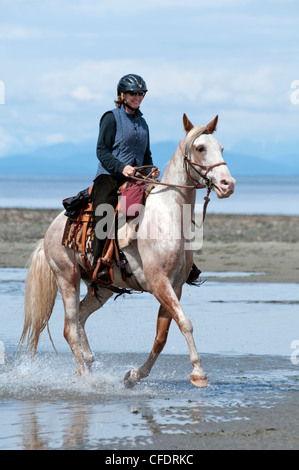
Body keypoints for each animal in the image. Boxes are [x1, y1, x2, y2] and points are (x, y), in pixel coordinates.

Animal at [19, 112, 237, 388]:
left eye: (221, 147)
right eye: (200, 148)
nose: (228, 184)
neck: (168, 216)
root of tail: (50, 231)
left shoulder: (174, 286)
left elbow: (162, 336)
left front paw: (133, 376)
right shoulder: (159, 283)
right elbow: (185, 323)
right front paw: (199, 373)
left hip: (101, 287)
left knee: (80, 318)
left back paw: (87, 361)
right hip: (67, 277)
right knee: (69, 328)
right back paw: (89, 378)